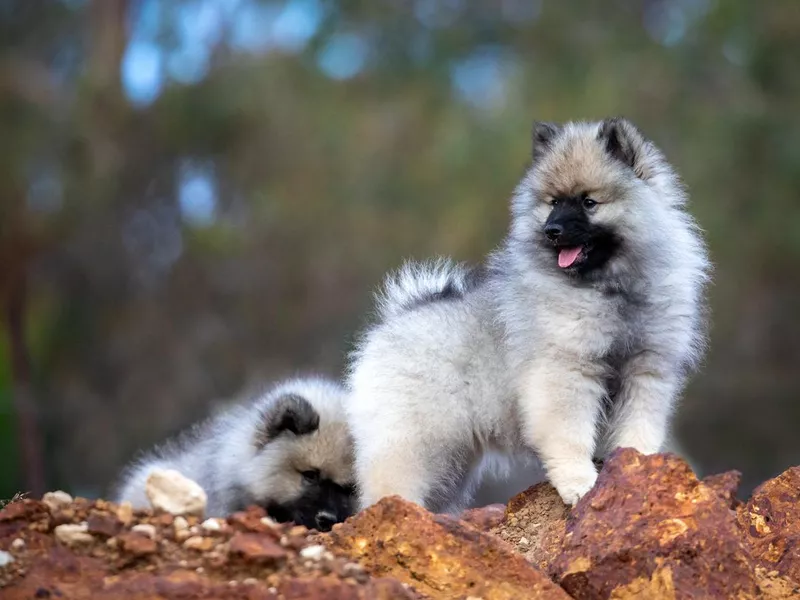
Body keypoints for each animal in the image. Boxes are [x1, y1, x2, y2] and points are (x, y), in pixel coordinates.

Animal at [346, 118, 708, 510]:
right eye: (553, 202)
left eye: (589, 202)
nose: (552, 230)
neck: (610, 289)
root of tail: (395, 319)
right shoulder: (567, 374)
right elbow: (570, 438)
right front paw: (580, 484)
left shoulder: (645, 372)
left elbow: (638, 431)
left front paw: (638, 469)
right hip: (415, 444)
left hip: (451, 464)